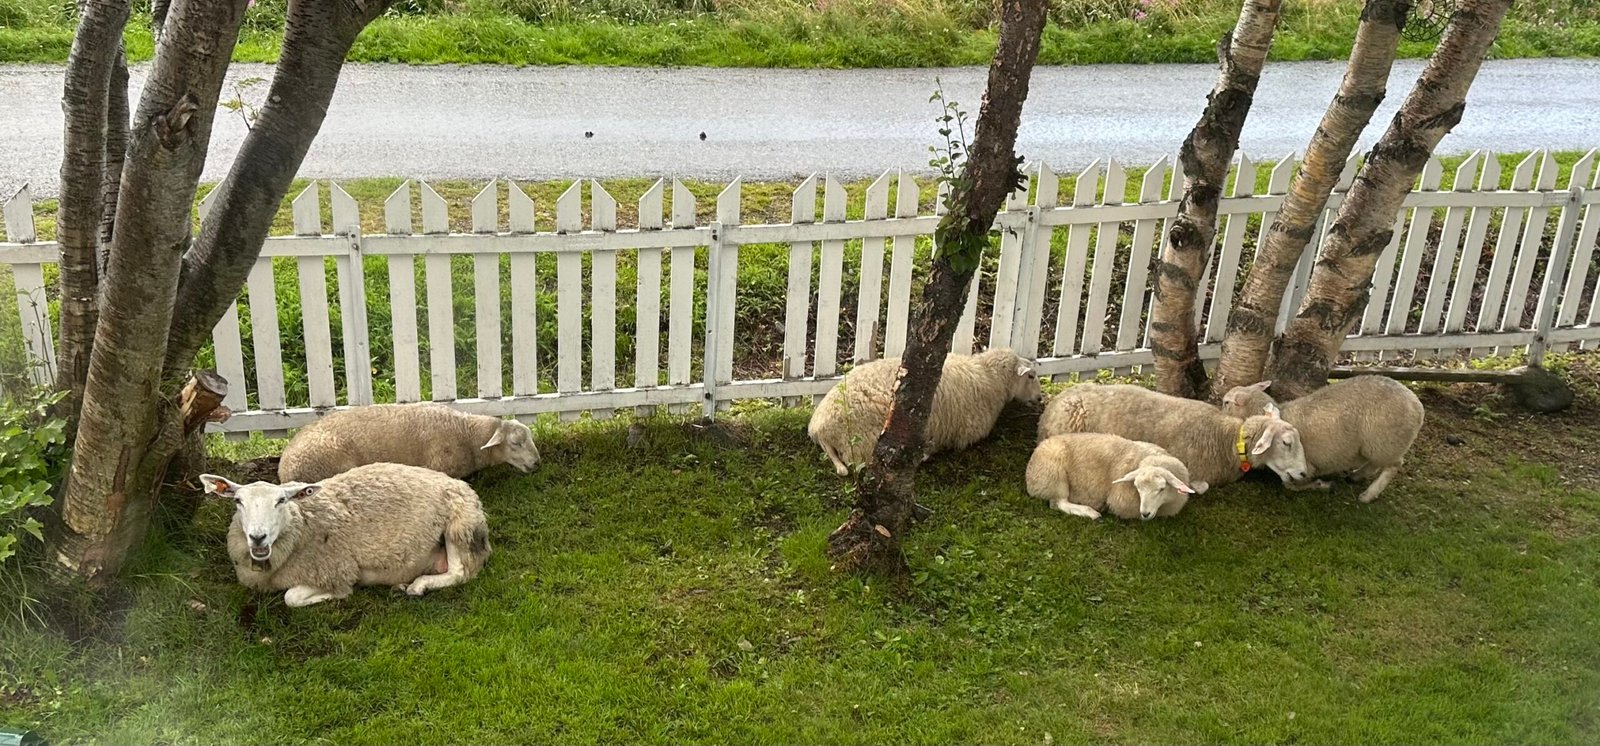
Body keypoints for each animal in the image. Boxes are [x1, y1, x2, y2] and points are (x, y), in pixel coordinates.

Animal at [201, 463, 492, 607]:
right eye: (238, 501)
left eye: (281, 500)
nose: (258, 537)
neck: (303, 524)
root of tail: (459, 483)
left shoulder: (334, 570)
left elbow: (291, 598)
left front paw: (337, 595)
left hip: (459, 523)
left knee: (460, 572)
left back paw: (419, 585)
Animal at [807, 347, 1042, 476]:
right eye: (1031, 376)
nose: (1041, 398)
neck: (988, 376)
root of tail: (818, 429)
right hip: (865, 442)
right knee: (860, 463)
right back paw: (923, 455)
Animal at [1025, 433, 1197, 520]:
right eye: (1137, 488)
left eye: (1161, 489)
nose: (1145, 513)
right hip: (1054, 477)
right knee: (1058, 503)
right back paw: (1091, 512)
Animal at [1218, 375, 1424, 502]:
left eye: (1226, 402)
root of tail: (1417, 405)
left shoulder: (1303, 465)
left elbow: (1290, 484)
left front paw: (1318, 485)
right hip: (1374, 446)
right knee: (1374, 464)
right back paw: (1356, 476)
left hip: (1385, 443)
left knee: (1394, 465)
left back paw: (1368, 494)